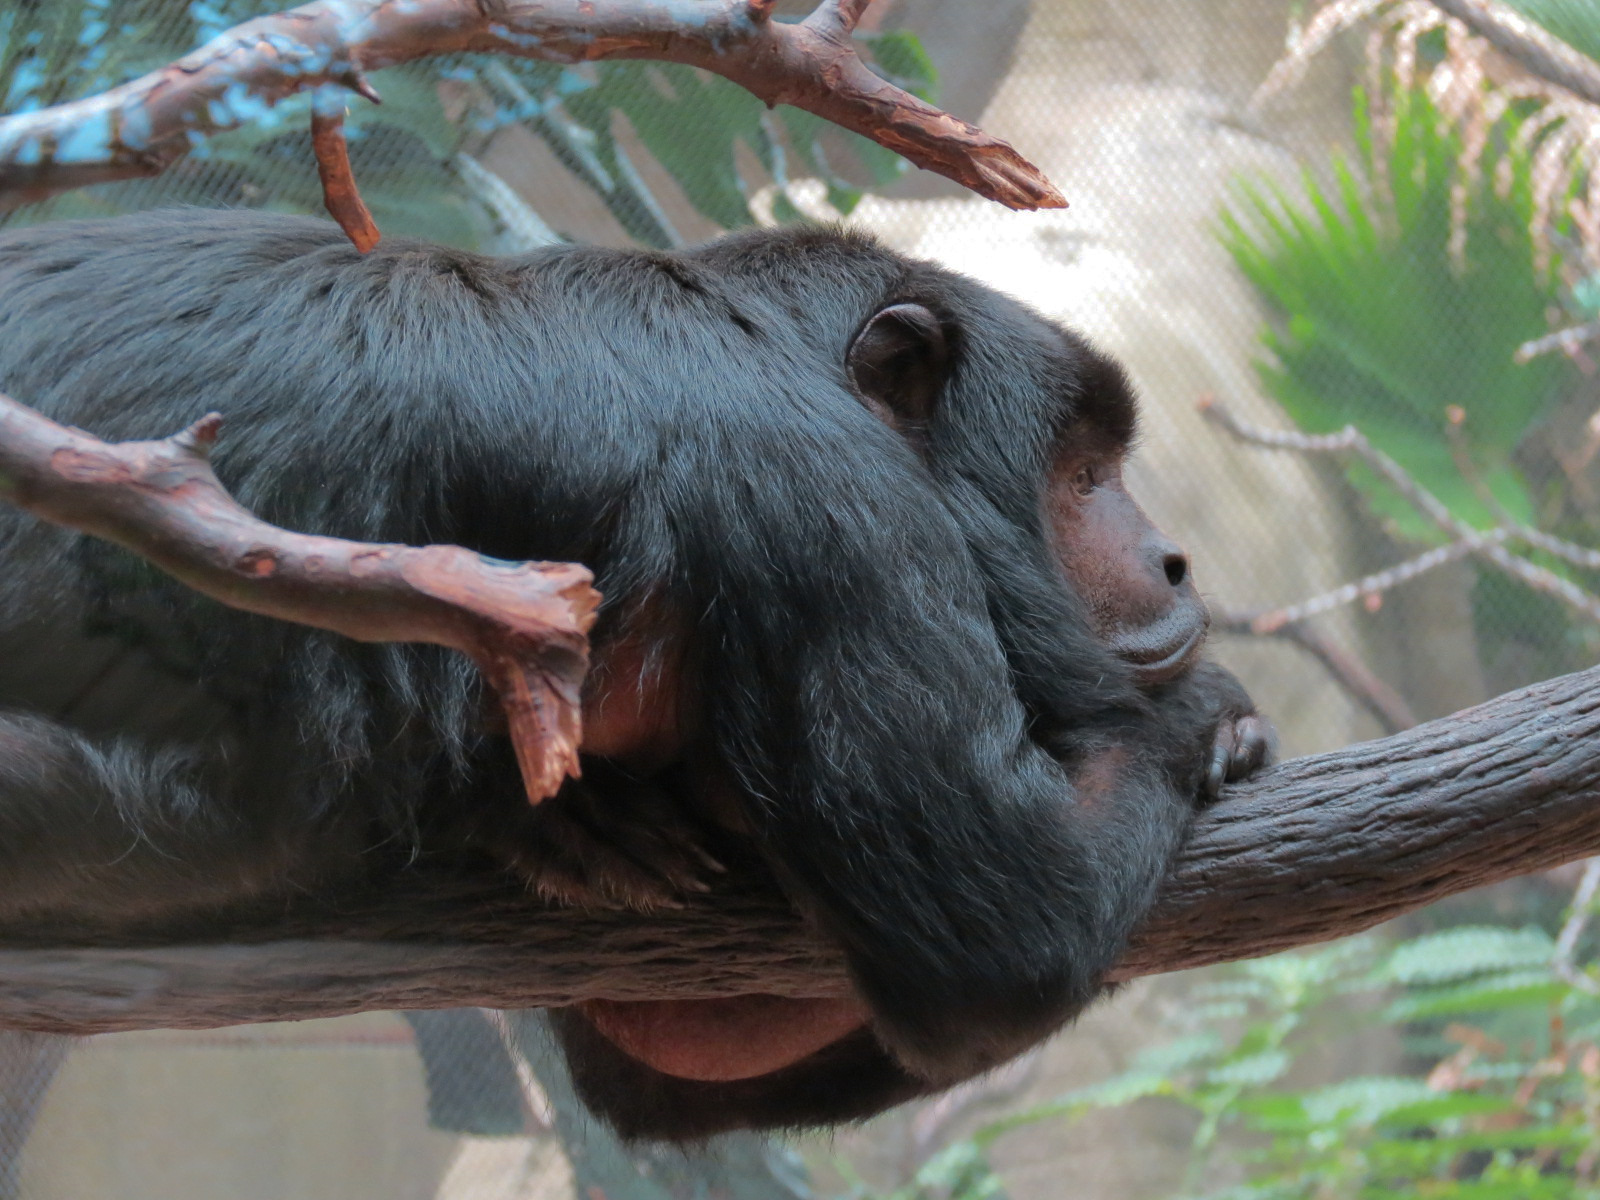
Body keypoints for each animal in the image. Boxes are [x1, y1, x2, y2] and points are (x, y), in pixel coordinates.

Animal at [0, 208, 1270, 1138]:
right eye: (1081, 470)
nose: (1171, 558)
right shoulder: (816, 487)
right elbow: (997, 943)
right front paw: (1213, 723)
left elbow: (658, 1052)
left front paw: (551, 818)